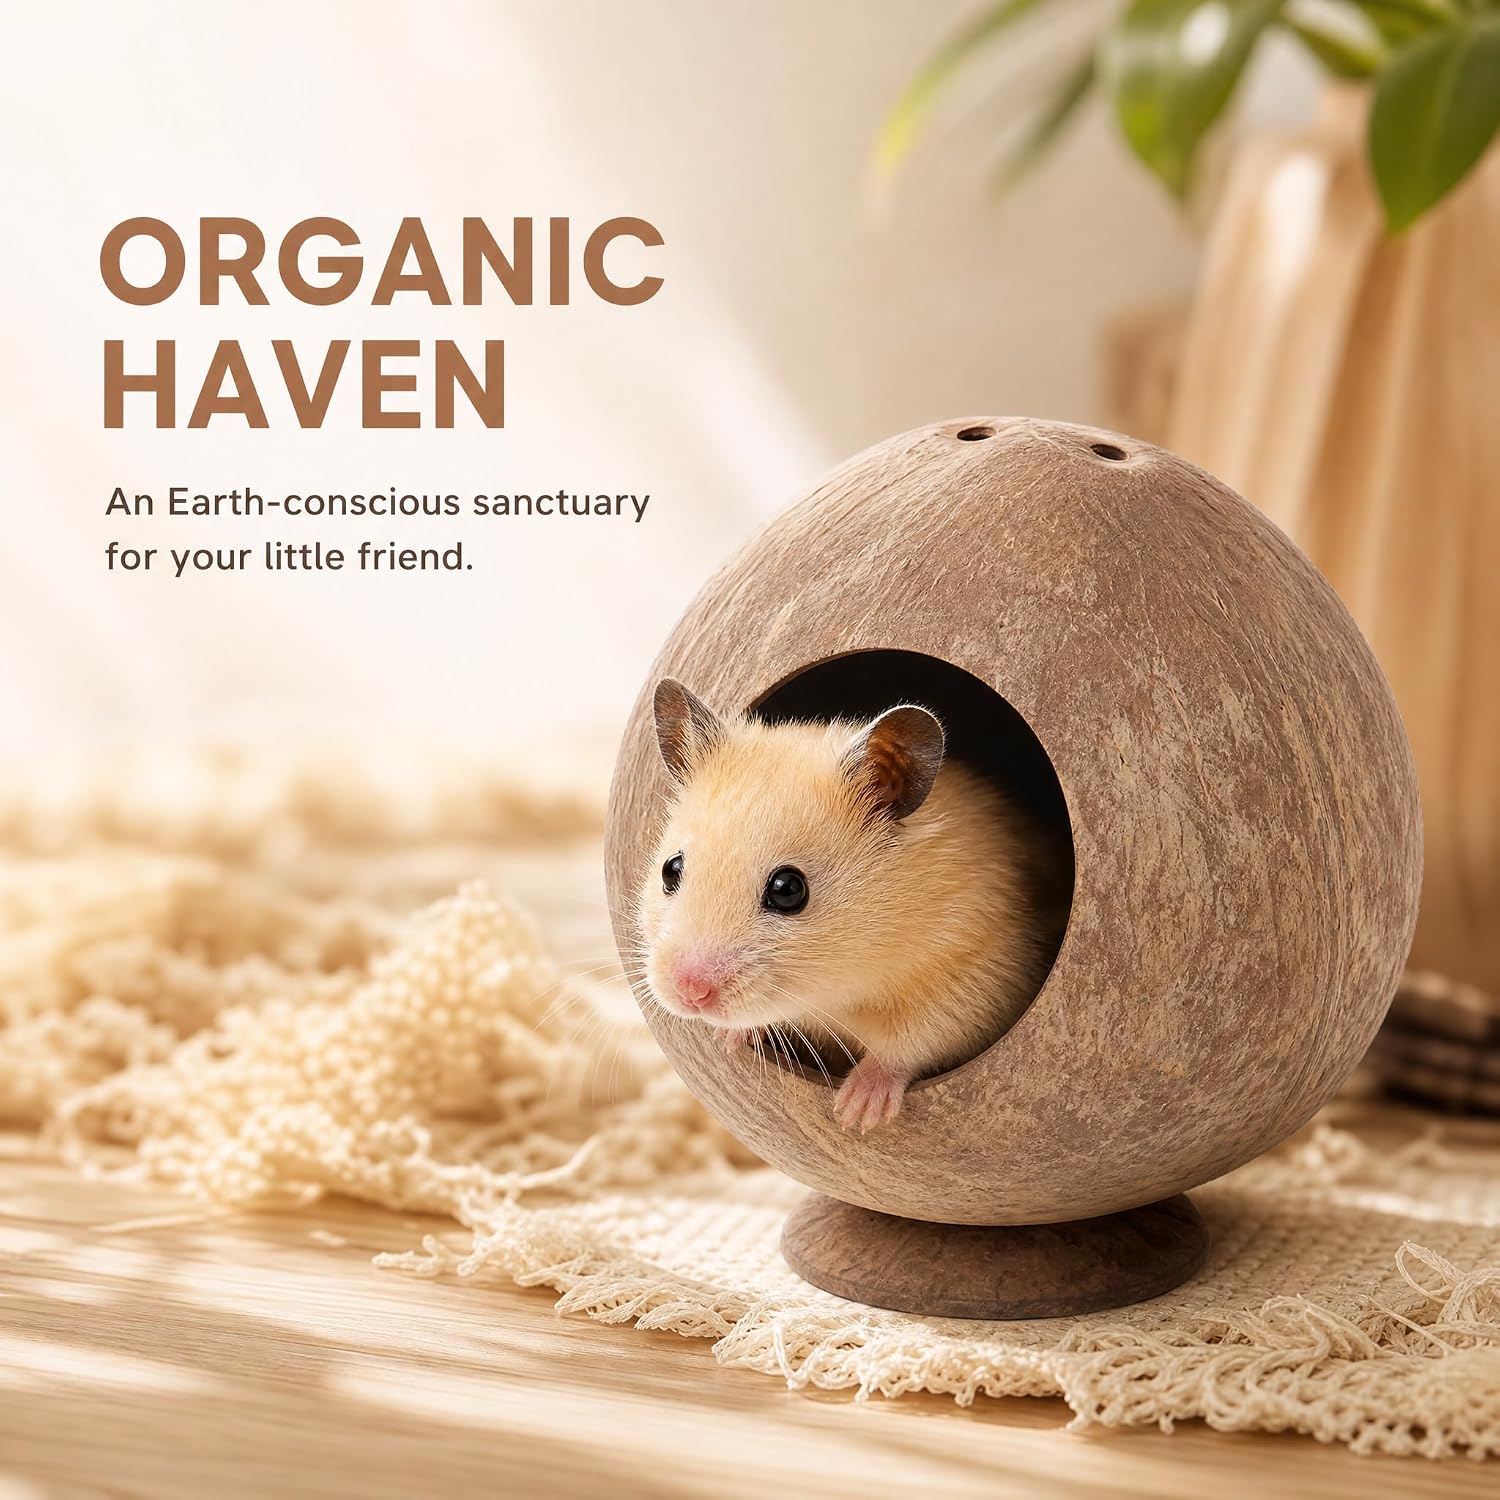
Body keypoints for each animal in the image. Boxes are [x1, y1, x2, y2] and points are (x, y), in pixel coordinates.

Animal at [636, 678, 1067, 1131]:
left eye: (788, 889)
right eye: (670, 869)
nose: (690, 993)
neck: (841, 993)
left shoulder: (979, 975)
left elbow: (912, 1042)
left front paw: (856, 1112)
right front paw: (728, 1038)